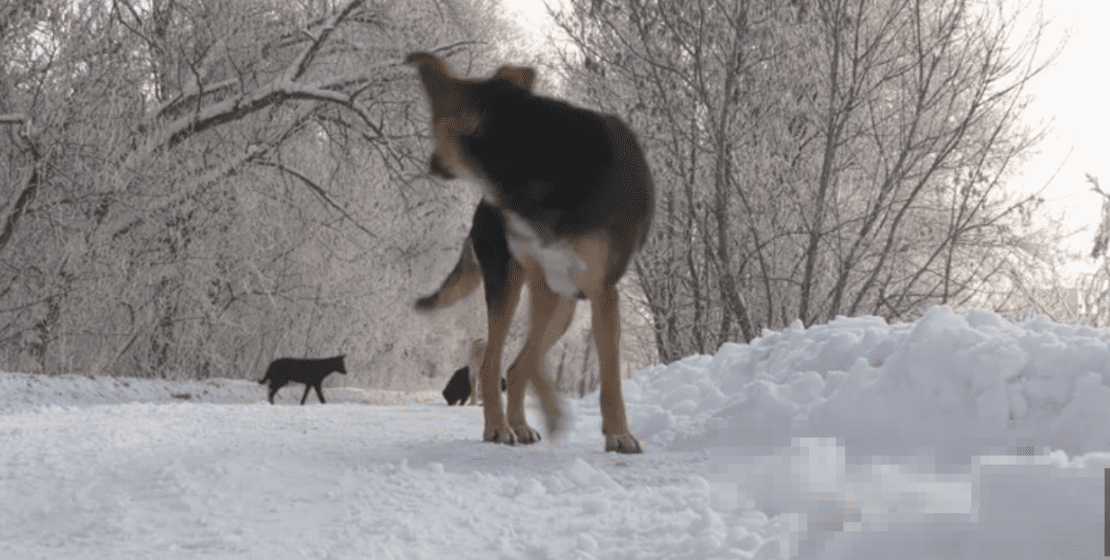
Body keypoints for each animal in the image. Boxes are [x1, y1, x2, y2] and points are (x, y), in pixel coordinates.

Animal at [408, 52, 652, 454]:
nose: (431, 164)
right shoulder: (543, 281)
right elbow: (526, 361)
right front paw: (557, 414)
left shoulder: (600, 291)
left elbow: (608, 374)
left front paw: (618, 433)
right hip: (508, 284)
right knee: (494, 361)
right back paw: (498, 427)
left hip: (565, 306)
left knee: (516, 362)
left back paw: (519, 424)